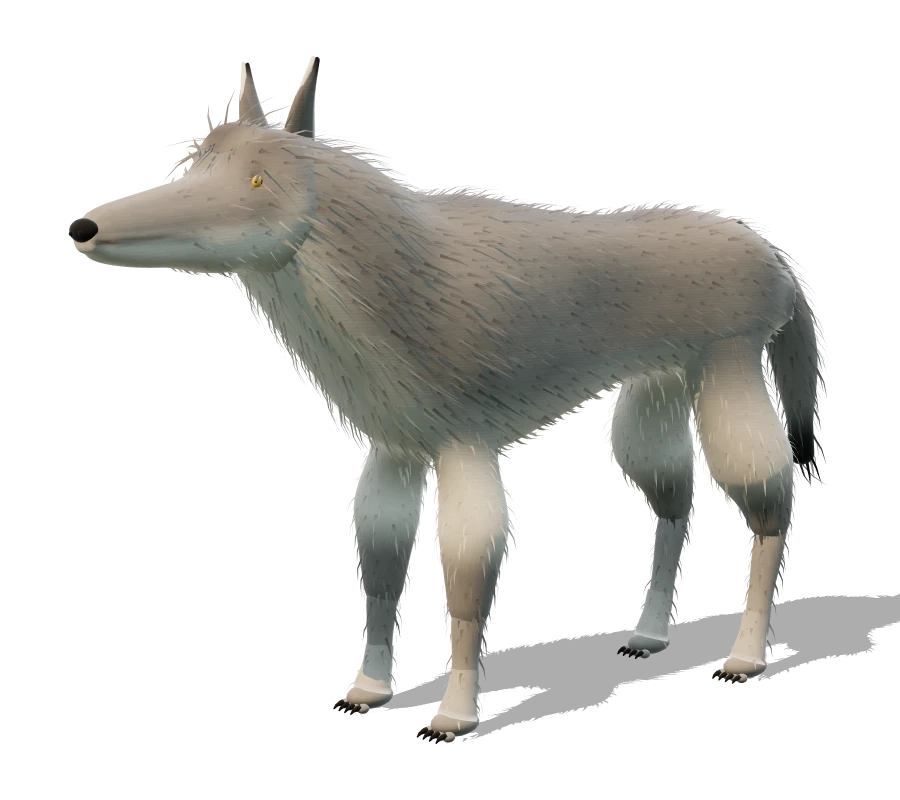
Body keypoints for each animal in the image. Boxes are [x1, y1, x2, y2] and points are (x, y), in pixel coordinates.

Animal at [70, 58, 823, 739]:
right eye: (184, 167)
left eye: (257, 179)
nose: (85, 228)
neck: (398, 277)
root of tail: (777, 259)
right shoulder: (396, 448)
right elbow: (379, 567)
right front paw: (368, 690)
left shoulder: (464, 444)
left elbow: (465, 578)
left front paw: (453, 714)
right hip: (660, 383)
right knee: (673, 501)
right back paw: (648, 635)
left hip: (729, 367)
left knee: (771, 502)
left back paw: (744, 658)